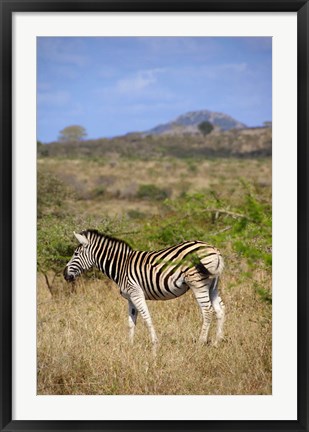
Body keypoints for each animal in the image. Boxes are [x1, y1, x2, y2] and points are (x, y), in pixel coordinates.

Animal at [63, 230, 225, 348]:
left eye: (75, 254)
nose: (64, 274)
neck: (121, 266)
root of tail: (213, 249)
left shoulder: (136, 293)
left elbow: (147, 317)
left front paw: (154, 344)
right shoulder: (130, 297)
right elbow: (131, 322)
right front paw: (129, 346)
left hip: (197, 283)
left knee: (207, 310)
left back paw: (201, 342)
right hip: (212, 284)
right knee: (220, 309)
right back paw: (217, 342)